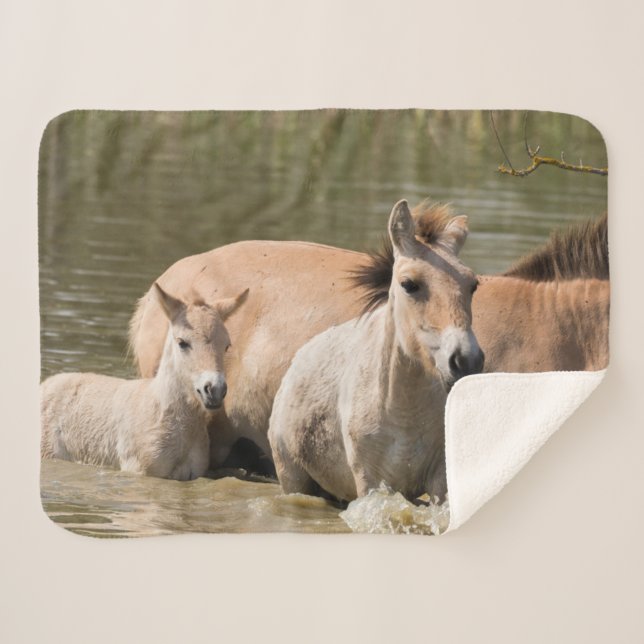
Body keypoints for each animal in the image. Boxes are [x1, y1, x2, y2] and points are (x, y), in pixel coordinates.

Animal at [268, 200, 483, 501]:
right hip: (292, 479)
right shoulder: (370, 482)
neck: (404, 412)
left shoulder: (440, 482)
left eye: (472, 285)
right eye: (409, 284)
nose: (466, 359)